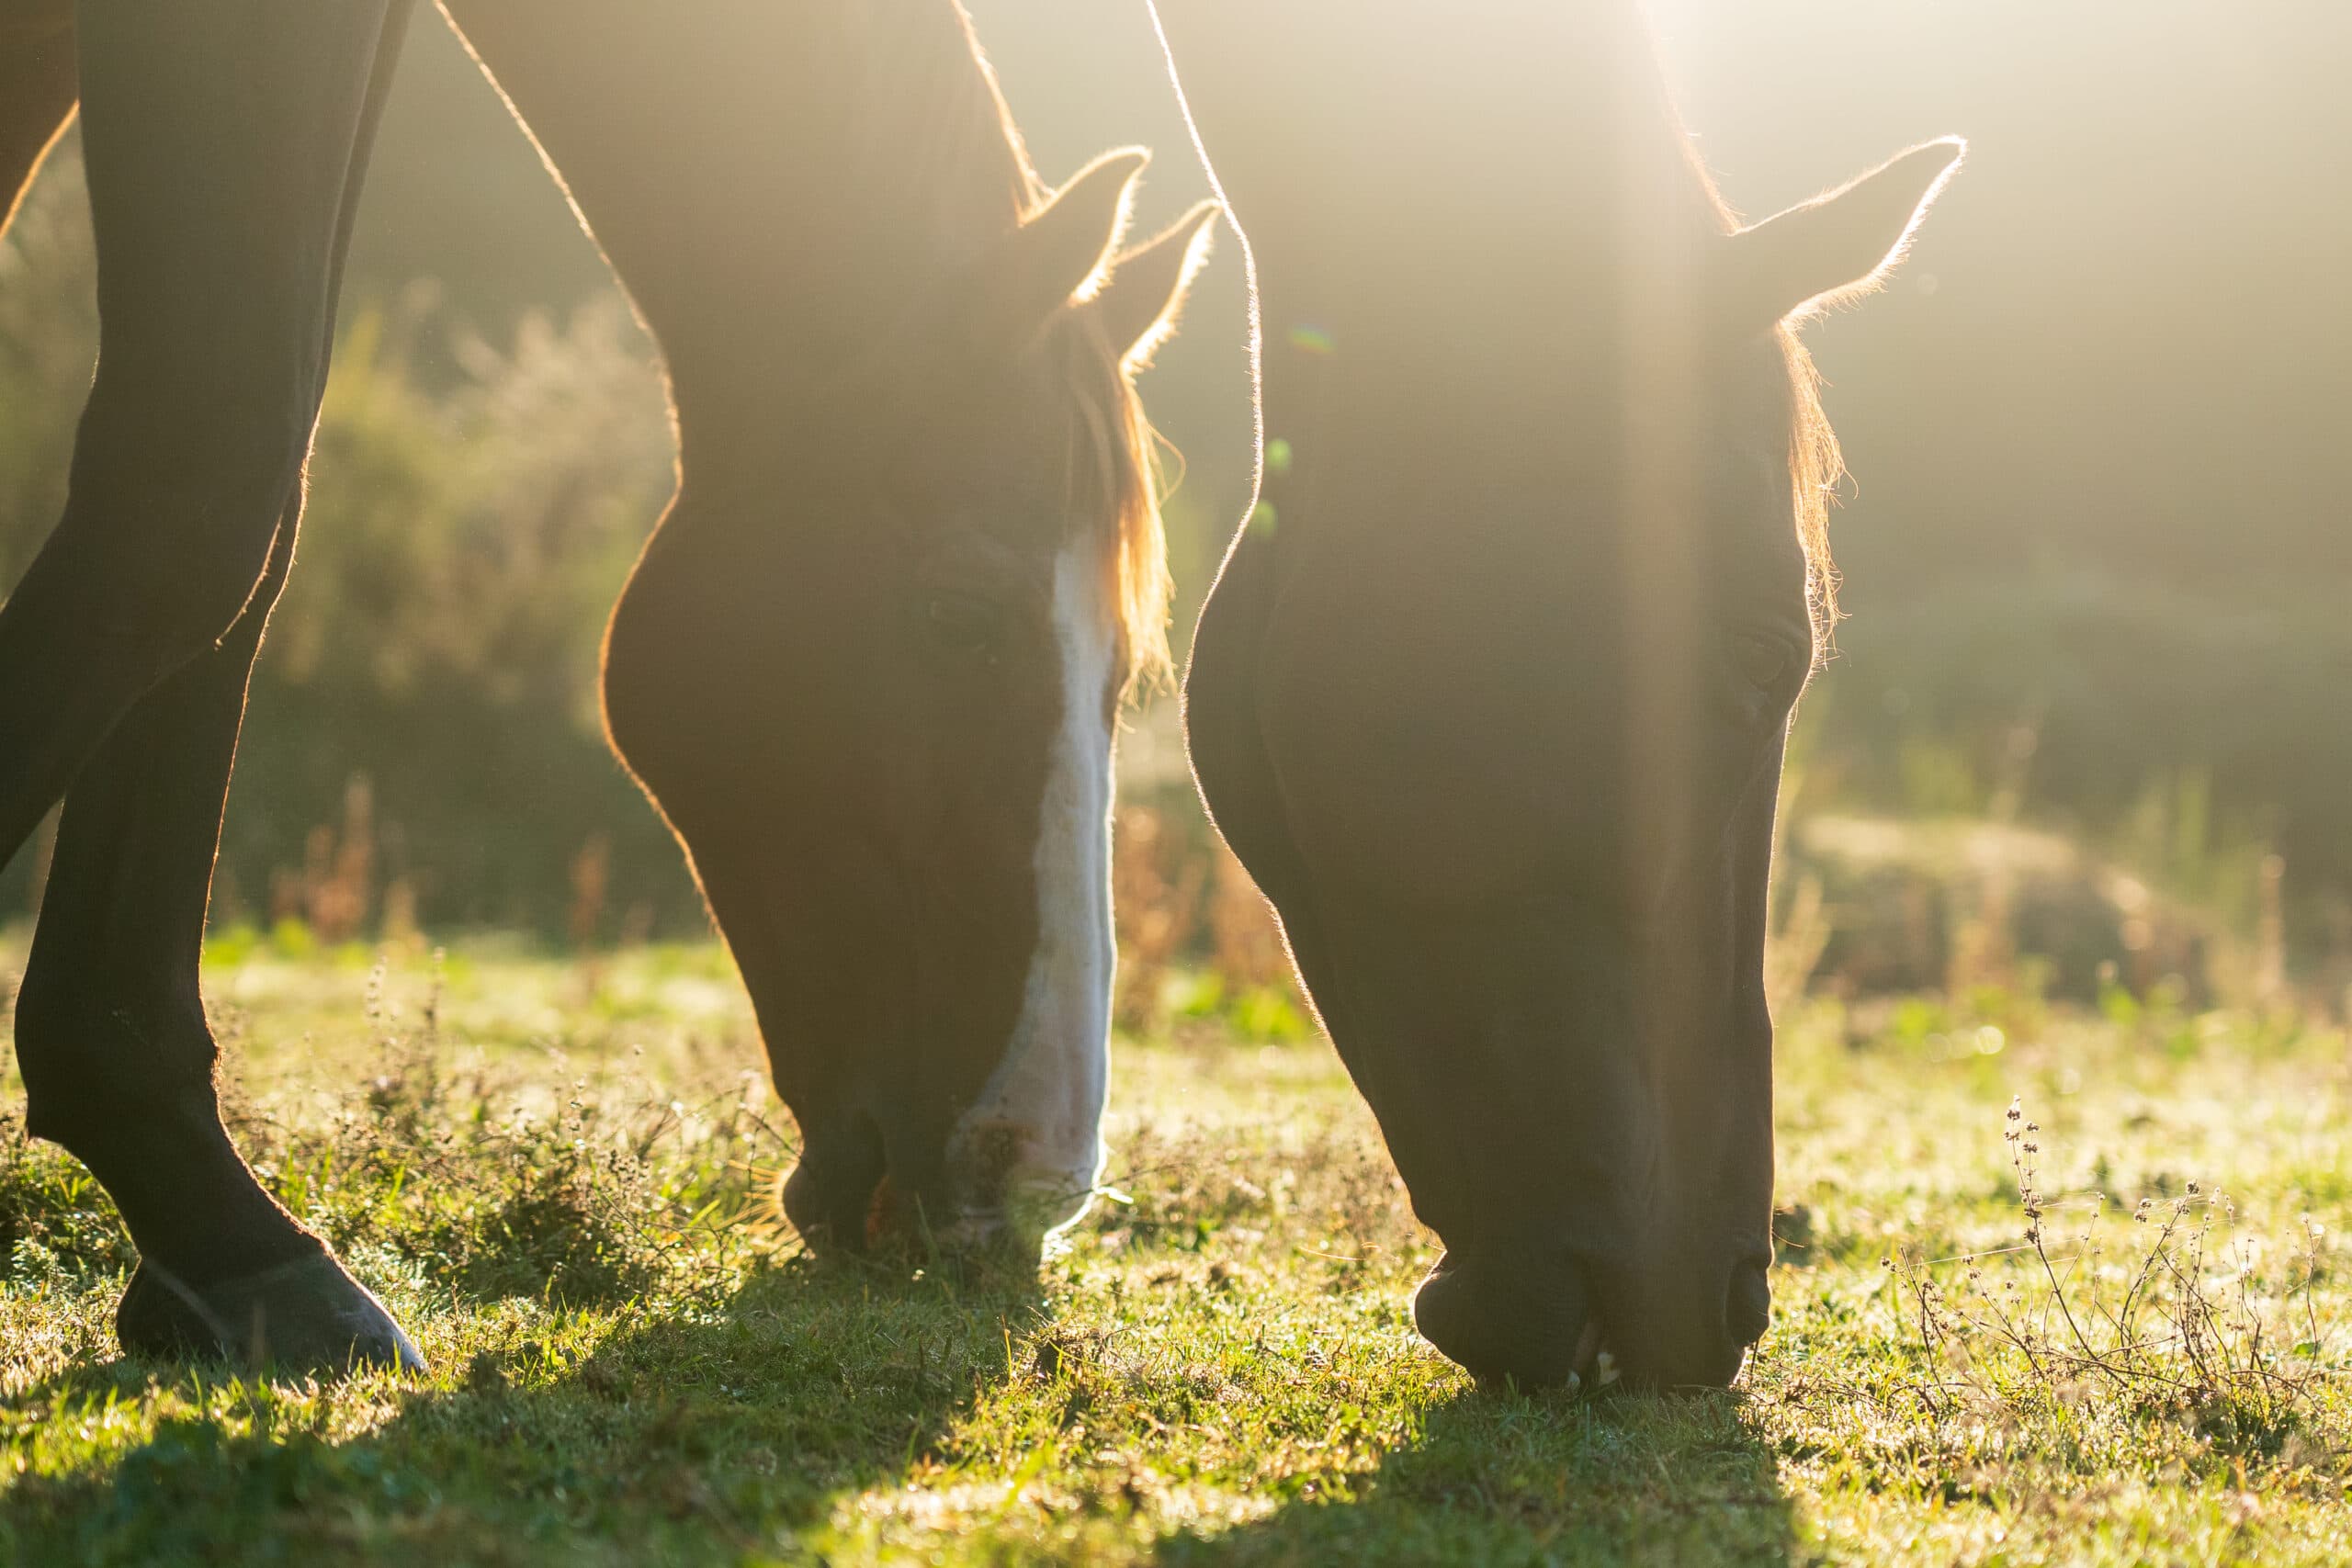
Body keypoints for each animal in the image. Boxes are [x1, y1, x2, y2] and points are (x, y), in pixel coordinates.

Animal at [0, 0, 1213, 1363]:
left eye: (1125, 669)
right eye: (961, 616)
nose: (1032, 1190)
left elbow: (260, 532)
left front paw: (213, 1230)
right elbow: (206, 490)